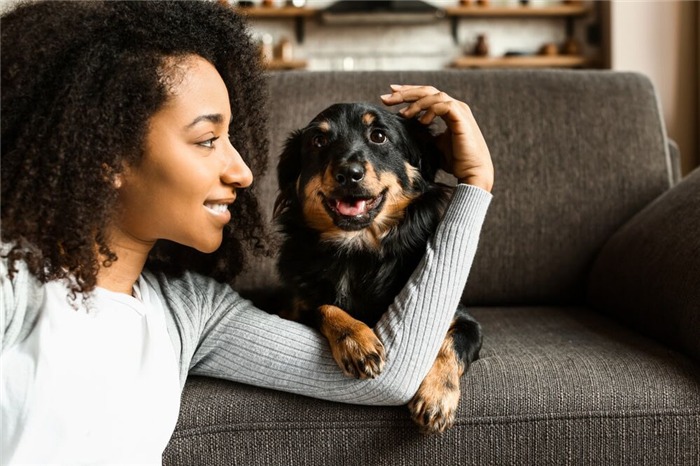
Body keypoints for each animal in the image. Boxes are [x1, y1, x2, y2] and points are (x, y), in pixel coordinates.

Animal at [268, 103, 482, 436]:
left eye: (379, 136)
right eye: (318, 141)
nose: (349, 174)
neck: (356, 251)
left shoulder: (466, 321)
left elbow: (450, 345)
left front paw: (436, 397)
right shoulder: (294, 306)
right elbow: (324, 306)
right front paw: (357, 341)